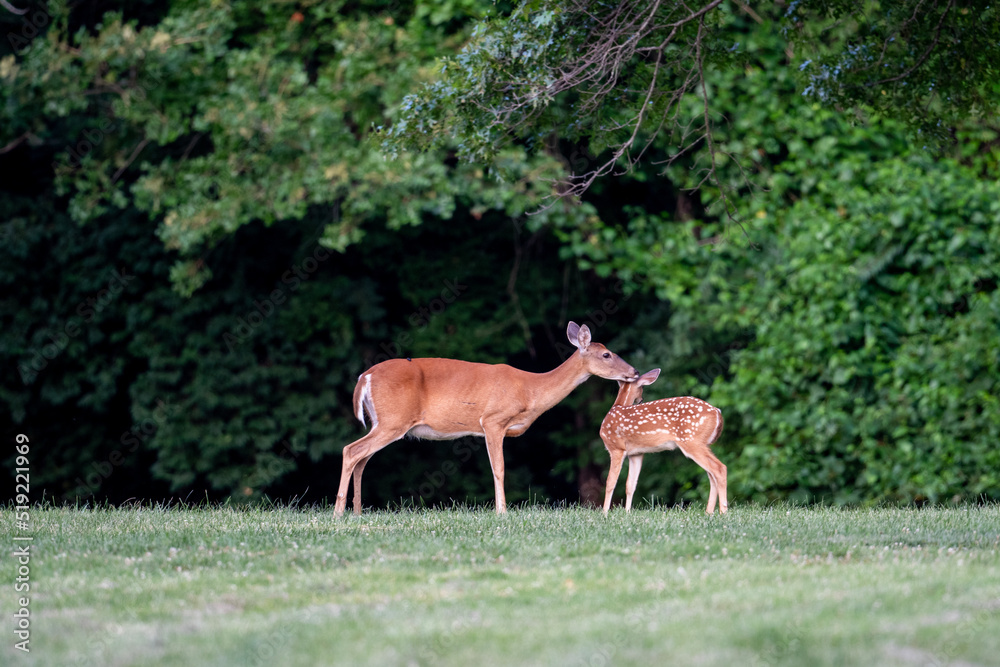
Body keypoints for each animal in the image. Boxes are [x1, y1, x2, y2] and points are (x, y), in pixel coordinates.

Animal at [334, 322, 632, 516]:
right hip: (393, 420)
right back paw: (338, 513)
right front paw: (502, 512)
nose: (632, 371)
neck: (530, 390)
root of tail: (364, 377)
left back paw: (356, 512)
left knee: (362, 459)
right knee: (351, 450)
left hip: (382, 422)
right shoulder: (492, 420)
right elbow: (498, 469)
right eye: (606, 354)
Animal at [592, 370, 728, 516]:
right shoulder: (636, 453)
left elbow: (610, 482)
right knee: (711, 473)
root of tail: (717, 413)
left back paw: (723, 512)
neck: (617, 406)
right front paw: (627, 512)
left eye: (642, 387)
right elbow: (631, 484)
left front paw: (604, 513)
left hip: (691, 441)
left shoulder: (616, 447)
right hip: (703, 443)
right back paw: (709, 512)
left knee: (719, 468)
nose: (640, 399)